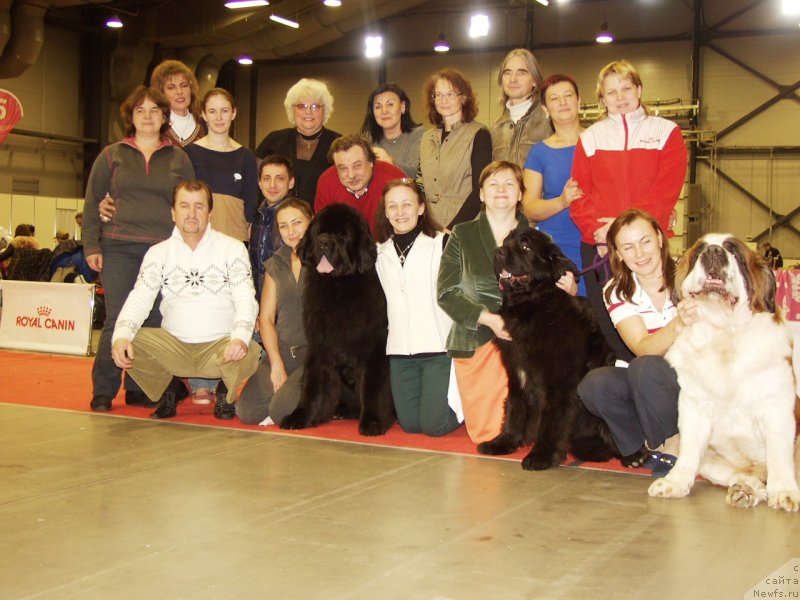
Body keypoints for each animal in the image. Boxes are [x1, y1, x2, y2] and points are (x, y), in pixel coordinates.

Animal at [280, 205, 396, 436]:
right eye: (319, 233)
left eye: (342, 236)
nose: (323, 242)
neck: (337, 289)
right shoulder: (320, 348)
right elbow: (312, 388)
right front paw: (301, 416)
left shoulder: (374, 350)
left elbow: (373, 388)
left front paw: (373, 422)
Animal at [478, 227, 620, 472]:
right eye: (505, 241)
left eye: (525, 247)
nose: (499, 252)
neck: (532, 305)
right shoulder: (517, 375)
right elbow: (515, 409)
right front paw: (504, 442)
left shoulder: (558, 383)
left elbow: (552, 421)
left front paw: (541, 455)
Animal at [648, 233, 796, 510]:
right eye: (699, 252)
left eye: (735, 253)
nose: (713, 252)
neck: (723, 335)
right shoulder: (693, 406)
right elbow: (688, 452)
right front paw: (675, 483)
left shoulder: (777, 407)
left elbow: (780, 455)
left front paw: (784, 493)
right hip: (711, 462)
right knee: (747, 475)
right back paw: (746, 490)